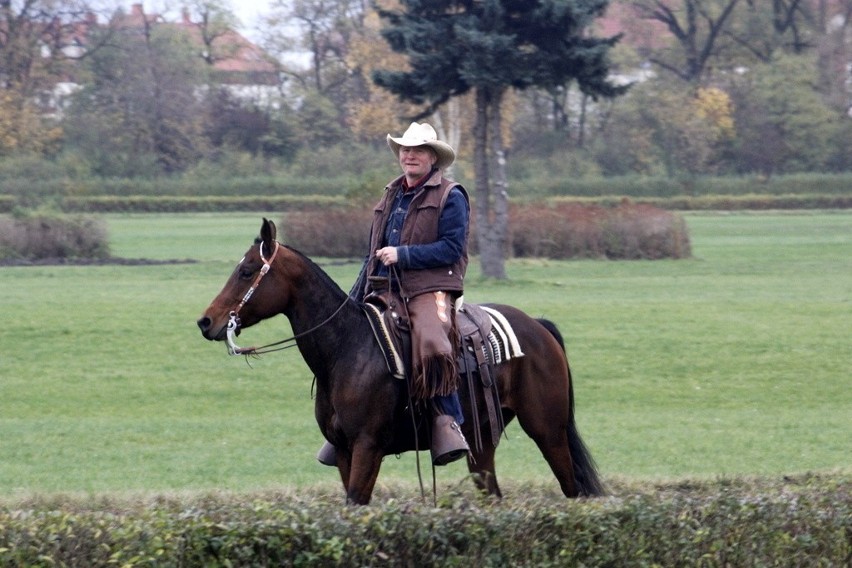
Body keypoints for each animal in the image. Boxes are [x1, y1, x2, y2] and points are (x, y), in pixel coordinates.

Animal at [196, 220, 604, 504]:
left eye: (247, 271)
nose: (206, 321)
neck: (347, 350)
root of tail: (538, 326)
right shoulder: (343, 451)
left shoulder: (368, 447)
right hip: (482, 444)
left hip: (548, 432)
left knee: (573, 489)